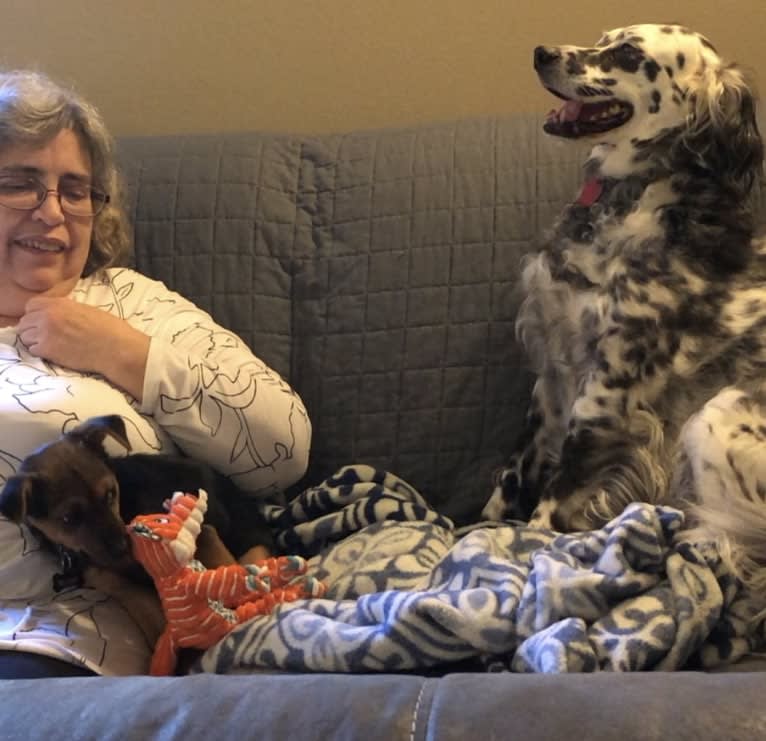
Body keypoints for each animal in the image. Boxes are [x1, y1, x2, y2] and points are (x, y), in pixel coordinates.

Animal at [486, 24, 766, 568]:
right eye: (603, 38)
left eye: (629, 53)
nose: (541, 52)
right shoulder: (551, 374)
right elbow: (511, 476)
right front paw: (478, 529)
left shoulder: (606, 387)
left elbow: (557, 490)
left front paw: (534, 550)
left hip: (714, 414)